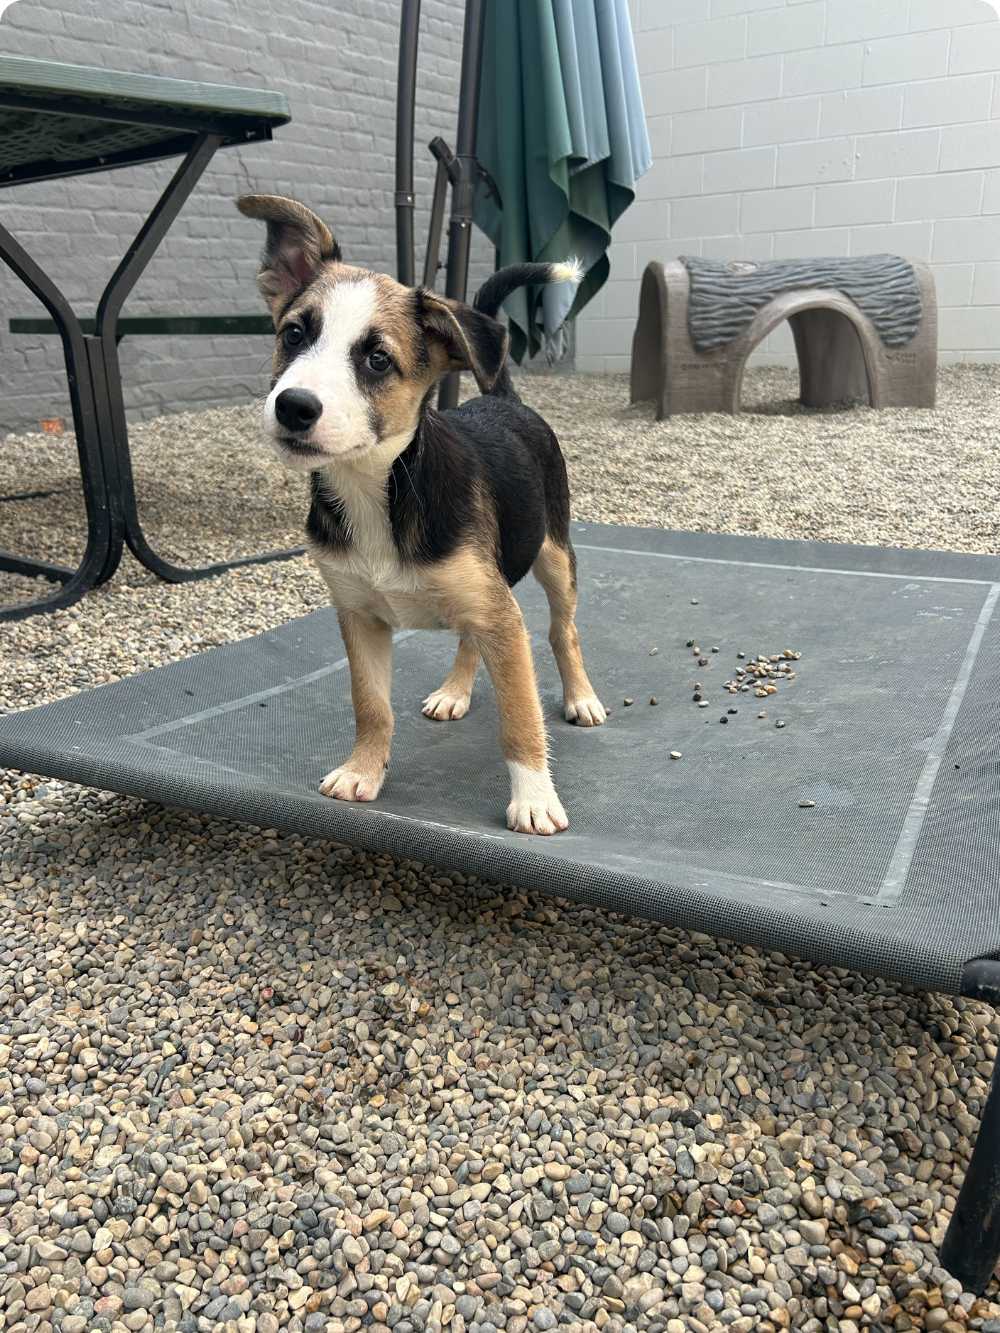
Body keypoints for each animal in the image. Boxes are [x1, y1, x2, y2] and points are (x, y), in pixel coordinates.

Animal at [238, 193, 605, 835]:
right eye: (293, 334)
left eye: (378, 360)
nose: (293, 406)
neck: (379, 489)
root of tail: (502, 397)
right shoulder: (360, 616)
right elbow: (371, 706)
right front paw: (363, 771)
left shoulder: (501, 617)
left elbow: (519, 717)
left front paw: (534, 798)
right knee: (468, 640)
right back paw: (455, 690)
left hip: (554, 556)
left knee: (564, 631)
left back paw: (580, 697)